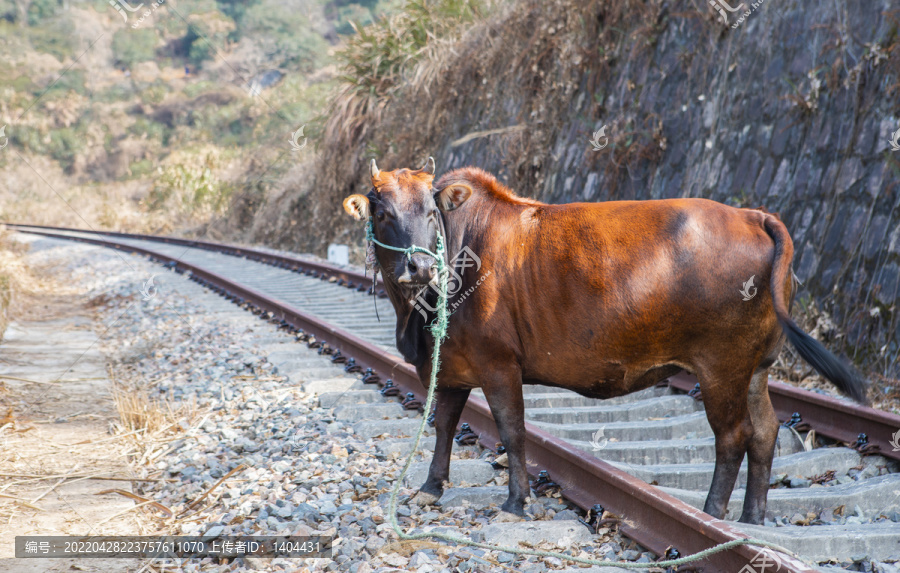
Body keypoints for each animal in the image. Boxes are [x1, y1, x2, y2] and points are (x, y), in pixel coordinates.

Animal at [342, 159, 864, 524]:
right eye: (382, 211)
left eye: (432, 211)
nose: (420, 266)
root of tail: (752, 215)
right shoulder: (450, 363)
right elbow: (444, 423)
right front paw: (431, 487)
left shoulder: (498, 363)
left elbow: (511, 430)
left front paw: (516, 500)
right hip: (756, 367)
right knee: (766, 431)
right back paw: (753, 516)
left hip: (722, 365)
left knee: (733, 435)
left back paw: (712, 515)